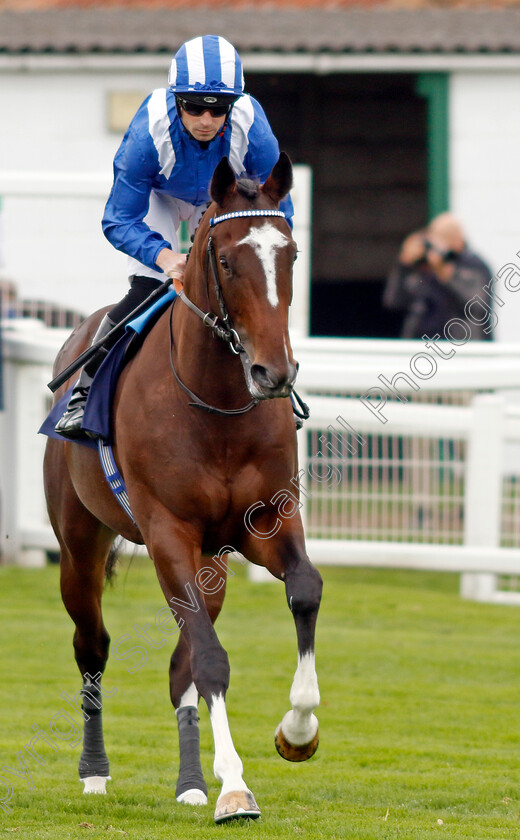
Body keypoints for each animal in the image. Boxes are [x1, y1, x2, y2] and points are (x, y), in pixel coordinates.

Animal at [43, 154, 320, 824]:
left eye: (291, 254)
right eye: (227, 260)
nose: (273, 373)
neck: (215, 403)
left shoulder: (264, 523)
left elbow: (303, 590)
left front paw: (297, 732)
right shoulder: (169, 532)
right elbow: (212, 658)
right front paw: (236, 789)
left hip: (211, 562)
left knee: (180, 666)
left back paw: (191, 781)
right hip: (80, 544)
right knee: (92, 646)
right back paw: (95, 771)